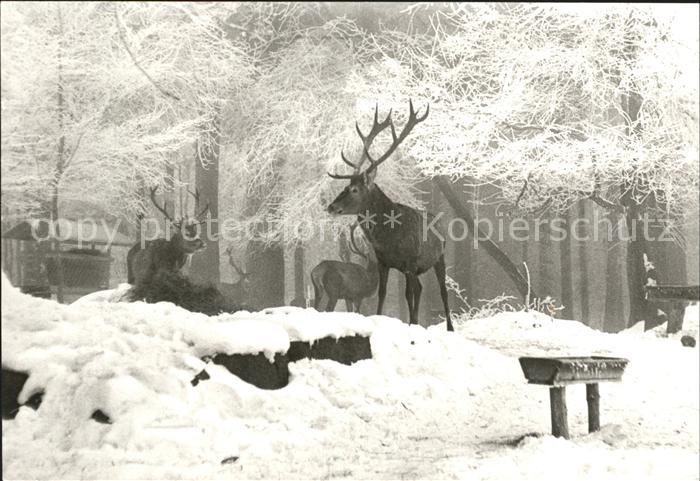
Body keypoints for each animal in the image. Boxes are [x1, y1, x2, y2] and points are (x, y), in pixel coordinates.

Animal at [326, 100, 453, 331]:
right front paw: (383, 320)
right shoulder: (383, 262)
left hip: (439, 256)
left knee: (442, 291)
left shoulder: (410, 261)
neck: (388, 238)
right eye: (345, 186)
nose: (332, 207)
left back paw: (449, 327)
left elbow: (407, 294)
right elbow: (383, 293)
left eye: (355, 189)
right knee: (420, 288)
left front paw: (412, 324)